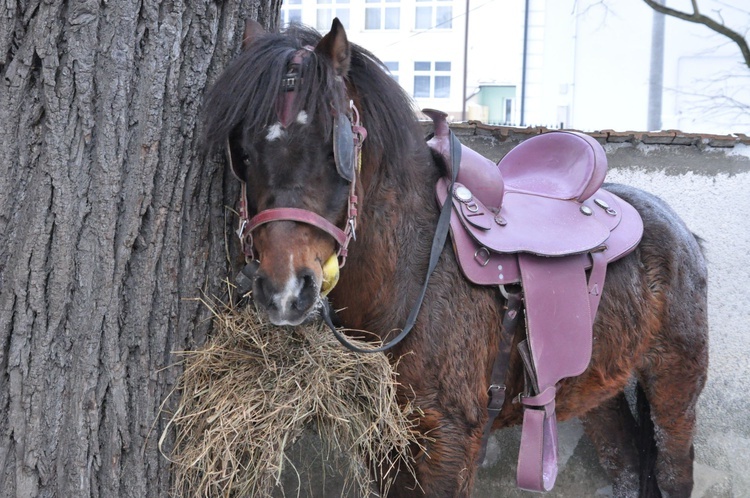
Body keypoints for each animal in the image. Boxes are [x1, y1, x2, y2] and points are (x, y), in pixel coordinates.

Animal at [204, 17, 712, 496]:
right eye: (243, 151)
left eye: (334, 145)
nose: (283, 290)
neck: (411, 275)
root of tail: (681, 231)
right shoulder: (387, 442)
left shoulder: (450, 442)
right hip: (596, 391)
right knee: (625, 466)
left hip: (674, 388)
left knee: (672, 472)